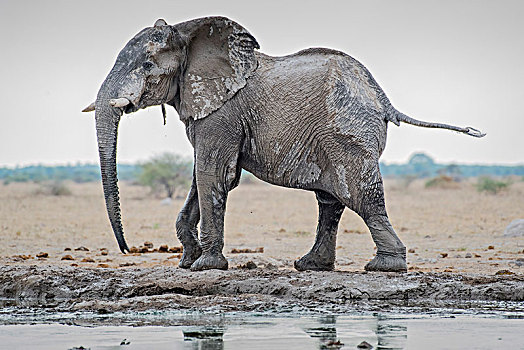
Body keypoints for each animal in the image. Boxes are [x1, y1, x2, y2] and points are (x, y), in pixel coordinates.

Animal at [83, 16, 488, 274]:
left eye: (148, 66)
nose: (126, 248)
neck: (188, 32)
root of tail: (382, 97)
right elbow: (205, 176)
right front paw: (188, 262)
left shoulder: (224, 112)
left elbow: (214, 174)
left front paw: (205, 266)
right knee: (330, 201)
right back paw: (311, 266)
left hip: (347, 133)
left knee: (361, 197)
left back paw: (384, 267)